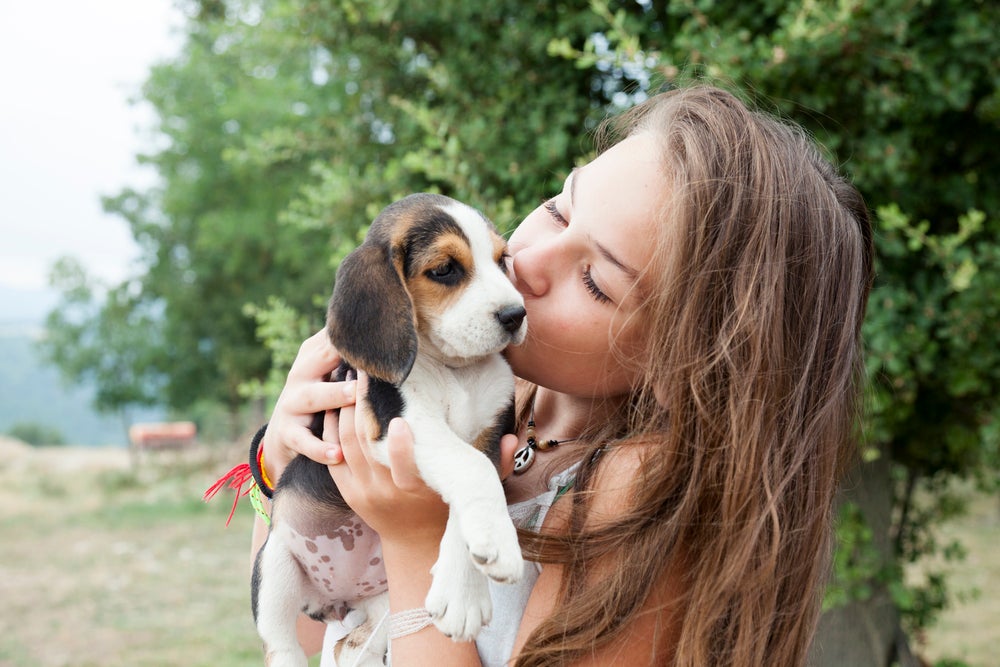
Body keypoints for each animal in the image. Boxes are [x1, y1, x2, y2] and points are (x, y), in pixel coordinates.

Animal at [250, 194, 528, 667]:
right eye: (445, 269)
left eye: (501, 260)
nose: (517, 314)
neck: (455, 370)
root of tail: (336, 601)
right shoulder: (402, 422)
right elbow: (471, 469)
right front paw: (496, 548)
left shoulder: (490, 437)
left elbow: (474, 481)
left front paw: (462, 595)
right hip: (275, 565)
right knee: (280, 642)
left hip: (379, 599)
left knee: (355, 642)